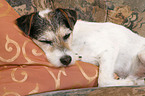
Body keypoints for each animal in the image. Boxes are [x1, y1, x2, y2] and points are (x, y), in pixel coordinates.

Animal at [15, 7, 145, 86]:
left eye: (67, 35)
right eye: (45, 41)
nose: (66, 60)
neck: (74, 43)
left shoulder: (109, 50)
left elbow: (103, 80)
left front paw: (130, 82)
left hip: (141, 54)